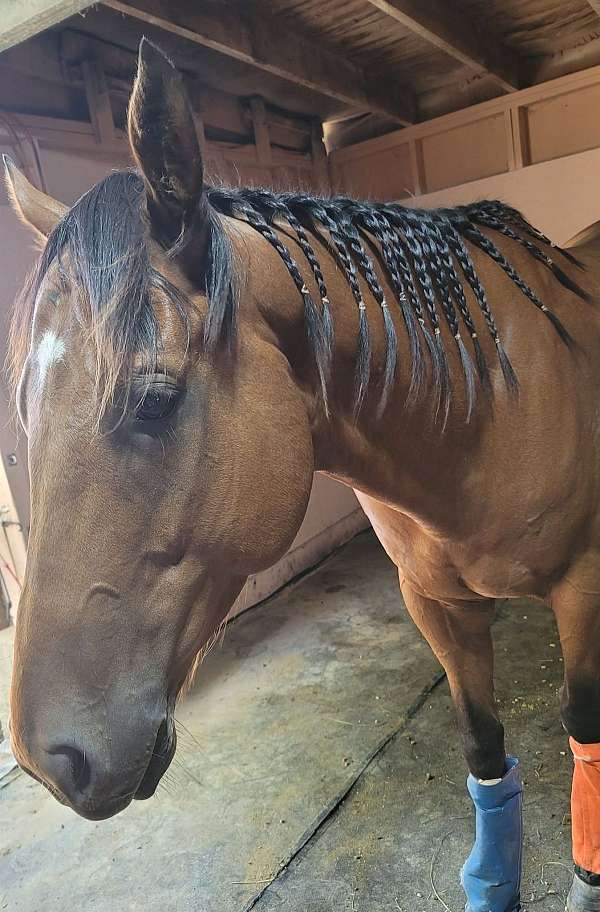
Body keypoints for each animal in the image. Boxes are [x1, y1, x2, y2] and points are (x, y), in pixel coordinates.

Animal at [4, 38, 600, 912]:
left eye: (154, 397)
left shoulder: (585, 590)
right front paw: (492, 882)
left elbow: (584, 733)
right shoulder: (435, 603)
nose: (52, 760)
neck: (492, 406)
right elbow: (482, 742)